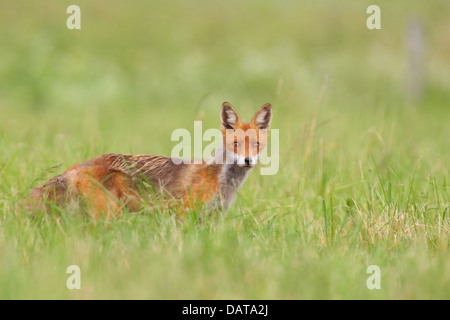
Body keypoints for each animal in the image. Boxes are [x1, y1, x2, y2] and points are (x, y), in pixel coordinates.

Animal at [24, 102, 272, 220]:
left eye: (257, 144)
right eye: (236, 144)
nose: (248, 160)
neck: (220, 181)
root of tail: (77, 166)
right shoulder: (184, 215)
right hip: (107, 215)